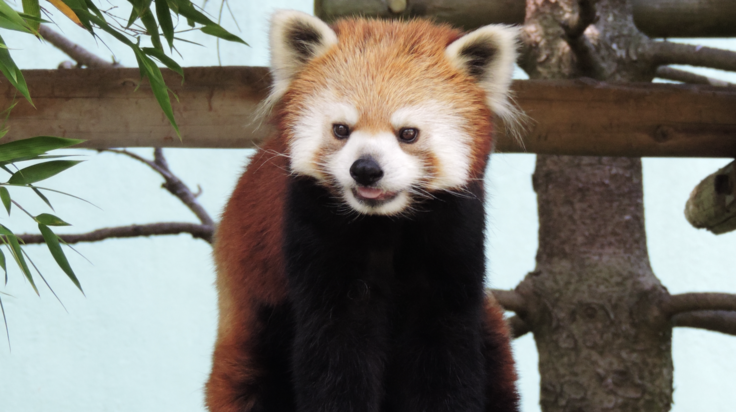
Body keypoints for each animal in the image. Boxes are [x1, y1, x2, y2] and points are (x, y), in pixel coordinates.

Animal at [204, 9, 520, 412]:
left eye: (408, 134)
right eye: (341, 129)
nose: (366, 169)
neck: (383, 224)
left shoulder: (454, 236)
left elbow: (445, 349)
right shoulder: (311, 233)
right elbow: (335, 350)